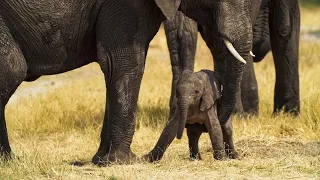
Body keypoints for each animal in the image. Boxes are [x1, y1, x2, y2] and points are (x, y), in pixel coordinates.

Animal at [0, 0, 250, 164]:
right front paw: (126, 160)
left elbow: (114, 72)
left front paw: (101, 160)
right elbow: (126, 63)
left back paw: (10, 161)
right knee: (13, 70)